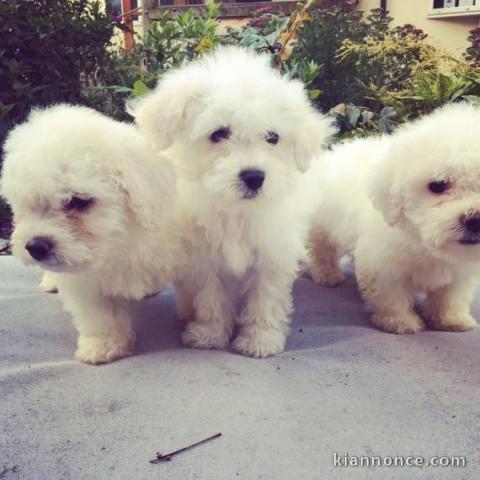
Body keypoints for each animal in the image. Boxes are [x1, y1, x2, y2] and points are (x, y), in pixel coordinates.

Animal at [0, 105, 185, 364]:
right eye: (29, 205)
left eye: (78, 201)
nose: (35, 247)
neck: (121, 240)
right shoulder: (85, 283)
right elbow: (99, 315)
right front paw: (104, 346)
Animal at [130, 47, 334, 358]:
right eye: (219, 134)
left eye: (272, 137)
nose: (254, 177)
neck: (237, 210)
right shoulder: (205, 259)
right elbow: (211, 298)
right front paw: (210, 334)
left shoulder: (271, 253)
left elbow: (266, 299)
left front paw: (261, 340)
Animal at [308, 102, 480, 334]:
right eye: (438, 185)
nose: (475, 220)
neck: (423, 243)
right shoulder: (383, 264)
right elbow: (392, 294)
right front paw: (400, 321)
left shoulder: (460, 271)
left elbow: (451, 295)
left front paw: (450, 319)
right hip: (322, 224)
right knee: (321, 248)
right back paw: (327, 274)